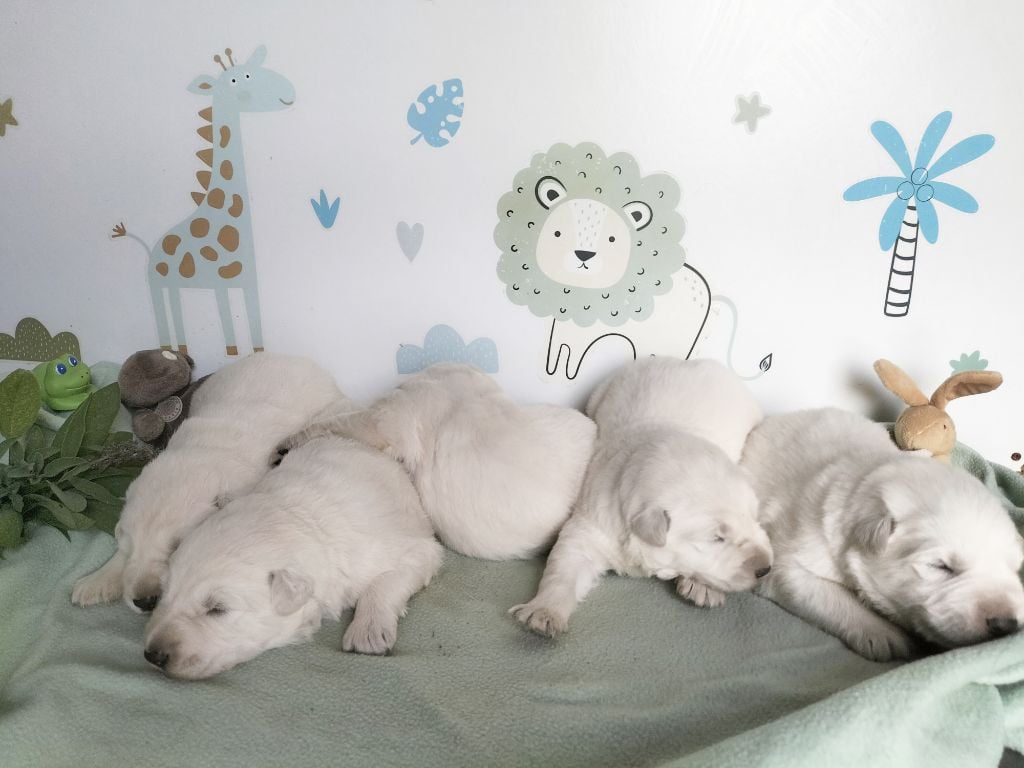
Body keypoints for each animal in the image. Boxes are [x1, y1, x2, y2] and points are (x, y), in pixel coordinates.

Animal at [143, 436, 440, 684]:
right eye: (164, 594)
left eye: (217, 609)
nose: (152, 655)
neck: (297, 521)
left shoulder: (411, 550)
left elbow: (384, 583)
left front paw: (367, 633)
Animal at [507, 356, 770, 638]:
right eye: (716, 538)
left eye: (755, 519)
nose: (766, 569)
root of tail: (683, 361)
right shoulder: (591, 526)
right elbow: (564, 568)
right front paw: (543, 613)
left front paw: (704, 587)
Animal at [741, 409, 1024, 663]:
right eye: (940, 566)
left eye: (1014, 568)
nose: (1005, 624)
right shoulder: (792, 556)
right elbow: (825, 594)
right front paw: (883, 635)